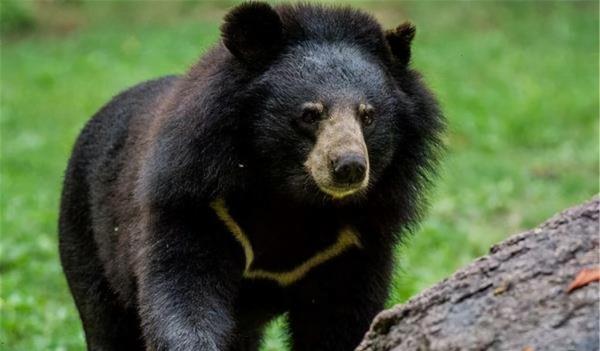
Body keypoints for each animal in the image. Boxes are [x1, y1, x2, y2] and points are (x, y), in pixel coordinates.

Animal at [59, 2, 446, 350]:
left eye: (368, 115)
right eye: (310, 114)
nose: (349, 166)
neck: (289, 196)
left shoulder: (352, 241)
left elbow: (342, 317)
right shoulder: (195, 204)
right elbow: (182, 291)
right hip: (87, 236)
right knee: (106, 322)